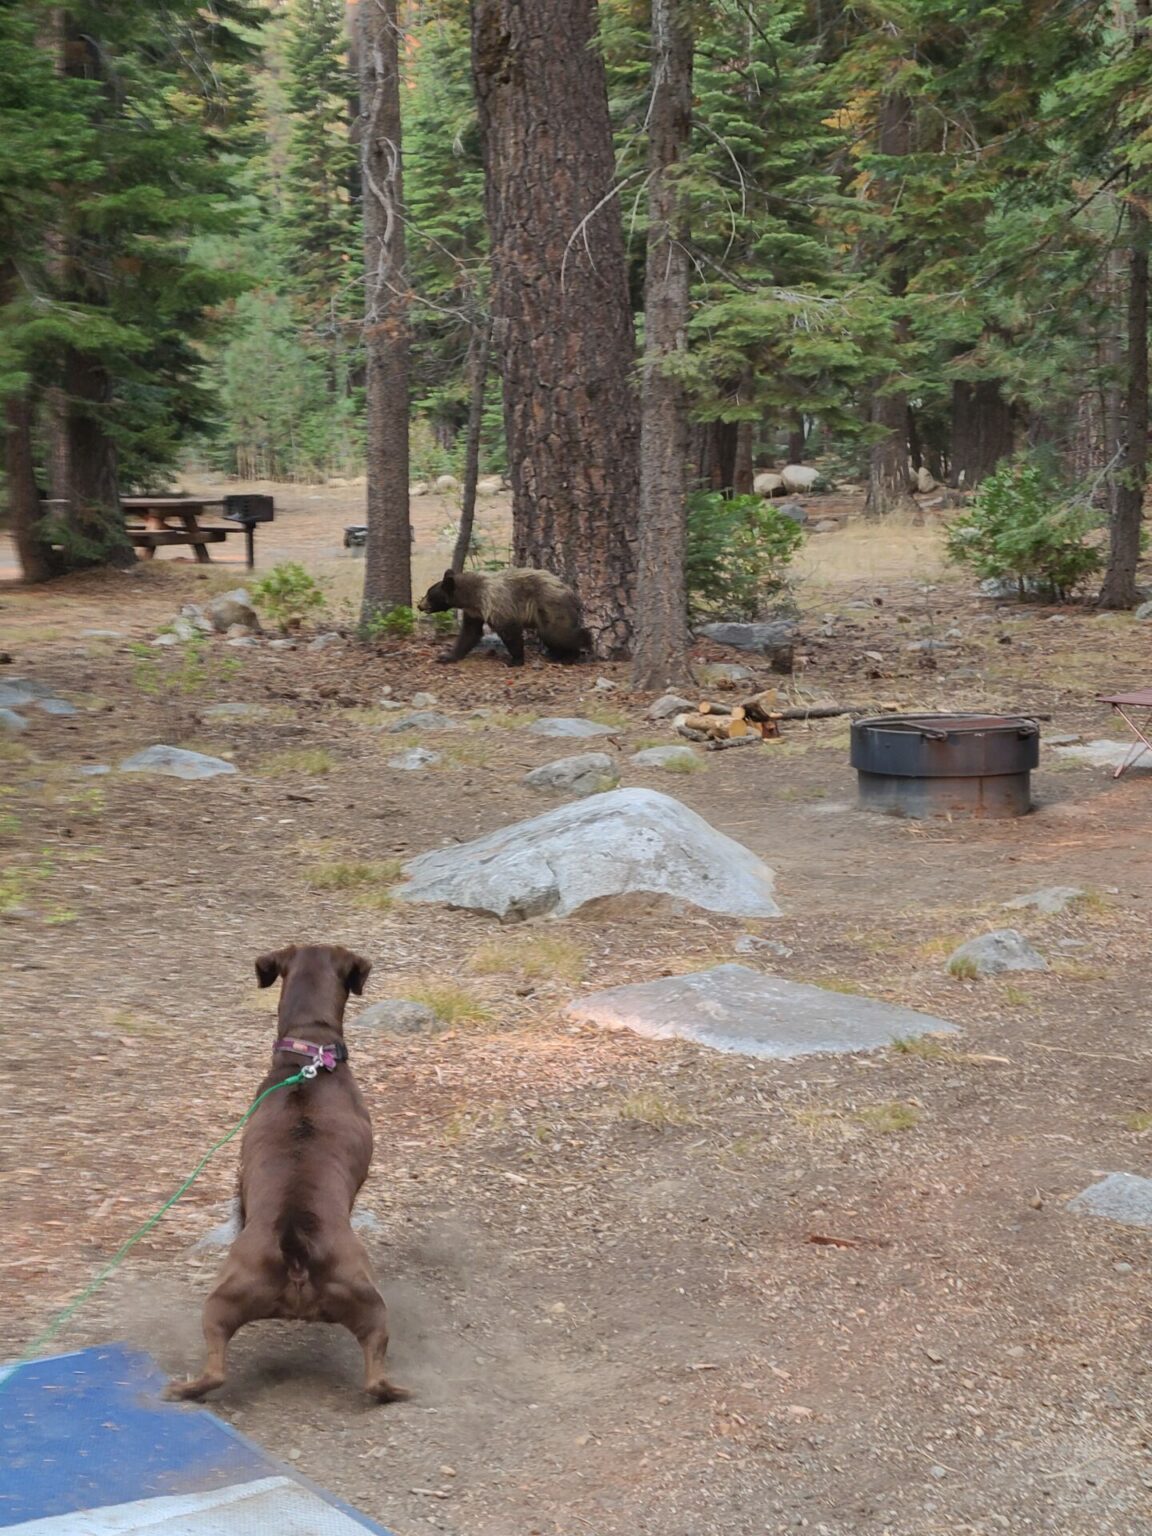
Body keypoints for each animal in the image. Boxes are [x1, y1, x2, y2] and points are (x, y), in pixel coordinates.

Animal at [417, 565, 595, 660]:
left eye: (429, 595)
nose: (419, 605)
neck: (473, 596)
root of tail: (569, 590)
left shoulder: (494, 604)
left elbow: (509, 630)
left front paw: (516, 660)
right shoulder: (475, 612)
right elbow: (470, 633)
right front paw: (447, 656)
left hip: (550, 606)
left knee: (557, 633)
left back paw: (578, 649)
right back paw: (558, 655)